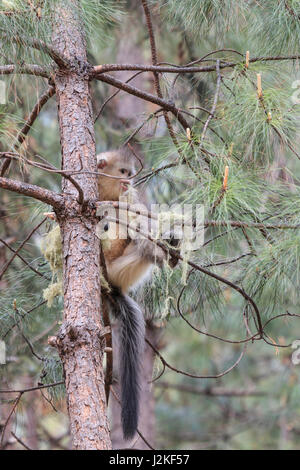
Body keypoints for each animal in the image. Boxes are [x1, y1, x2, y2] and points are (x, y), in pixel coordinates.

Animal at [96, 148, 178, 440]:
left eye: (130, 174)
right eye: (123, 172)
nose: (128, 181)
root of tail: (112, 287)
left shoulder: (128, 199)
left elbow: (139, 217)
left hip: (123, 271)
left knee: (141, 243)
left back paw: (165, 251)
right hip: (114, 269)